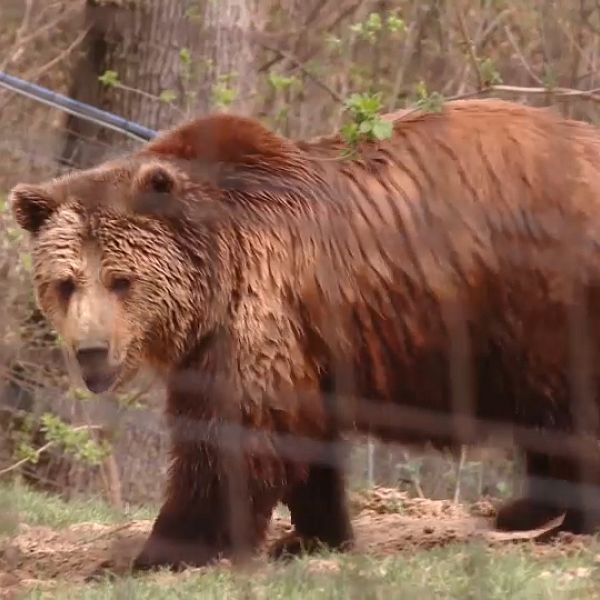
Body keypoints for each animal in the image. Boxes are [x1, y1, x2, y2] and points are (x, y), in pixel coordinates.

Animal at [9, 98, 600, 572]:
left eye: (121, 280)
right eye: (65, 283)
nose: (91, 351)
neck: (212, 278)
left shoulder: (261, 300)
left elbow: (234, 432)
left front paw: (164, 549)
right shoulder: (293, 342)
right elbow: (303, 433)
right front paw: (314, 536)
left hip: (540, 298)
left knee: (565, 406)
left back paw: (565, 519)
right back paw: (527, 509)